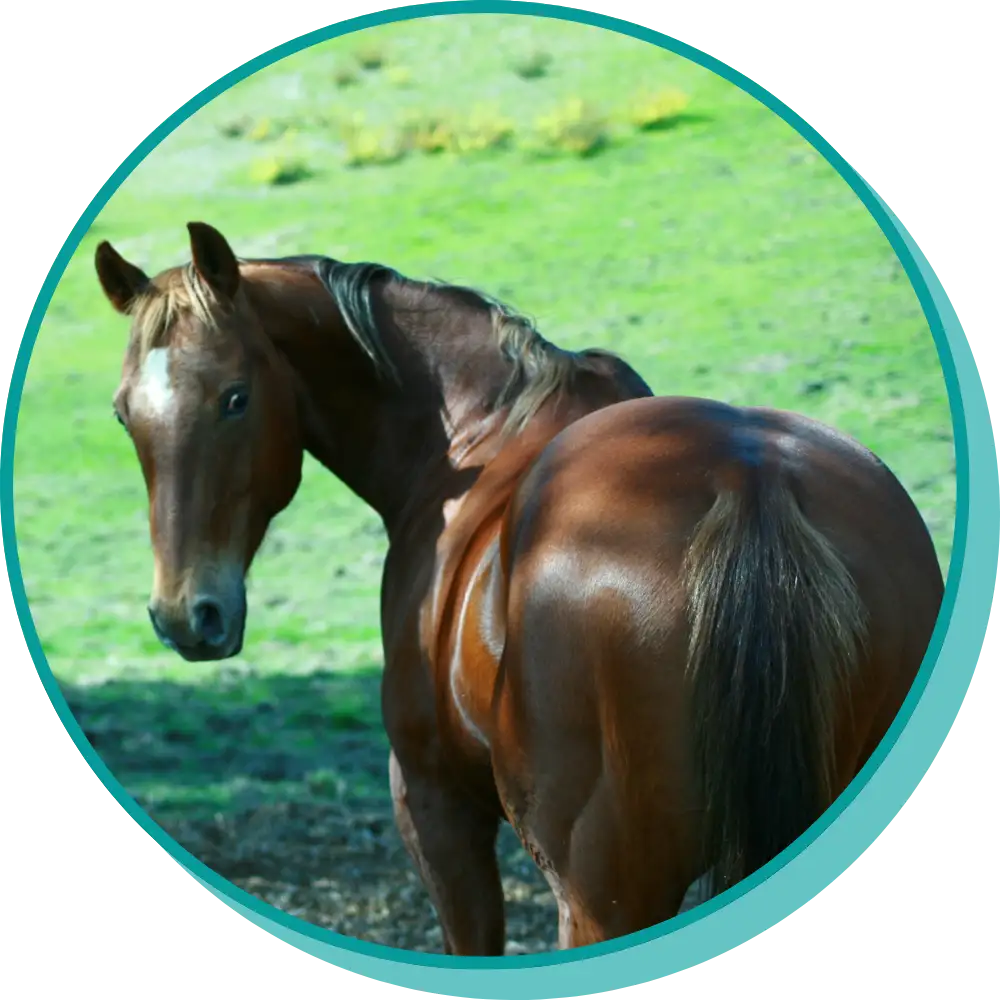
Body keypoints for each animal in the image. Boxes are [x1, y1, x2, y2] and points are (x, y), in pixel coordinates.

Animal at [94, 222, 945, 955]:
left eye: (235, 397)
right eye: (125, 415)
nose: (186, 617)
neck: (473, 431)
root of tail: (747, 479)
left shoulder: (435, 804)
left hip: (604, 892)